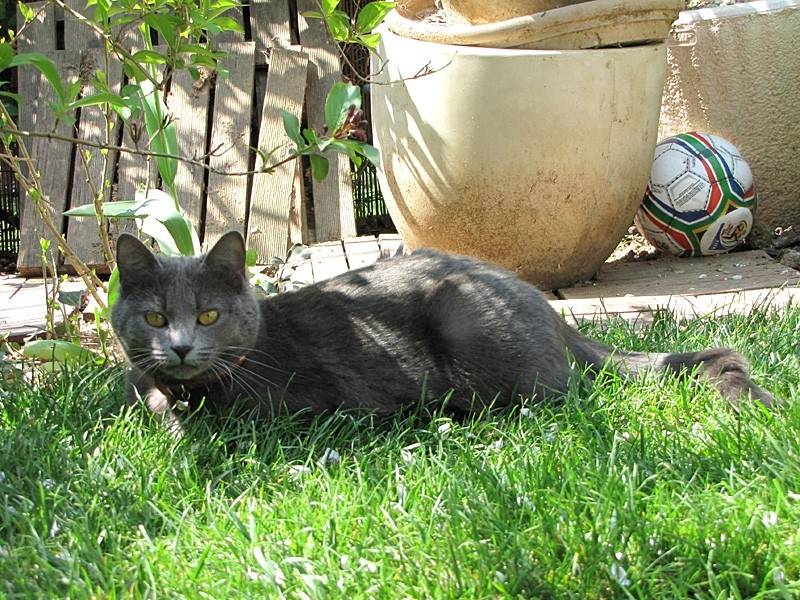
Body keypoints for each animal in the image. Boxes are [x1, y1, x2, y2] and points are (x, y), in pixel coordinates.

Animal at [111, 231, 774, 426]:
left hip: (466, 318)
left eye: (208, 315)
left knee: (556, 392)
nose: (180, 347)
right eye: (154, 317)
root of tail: (554, 314)